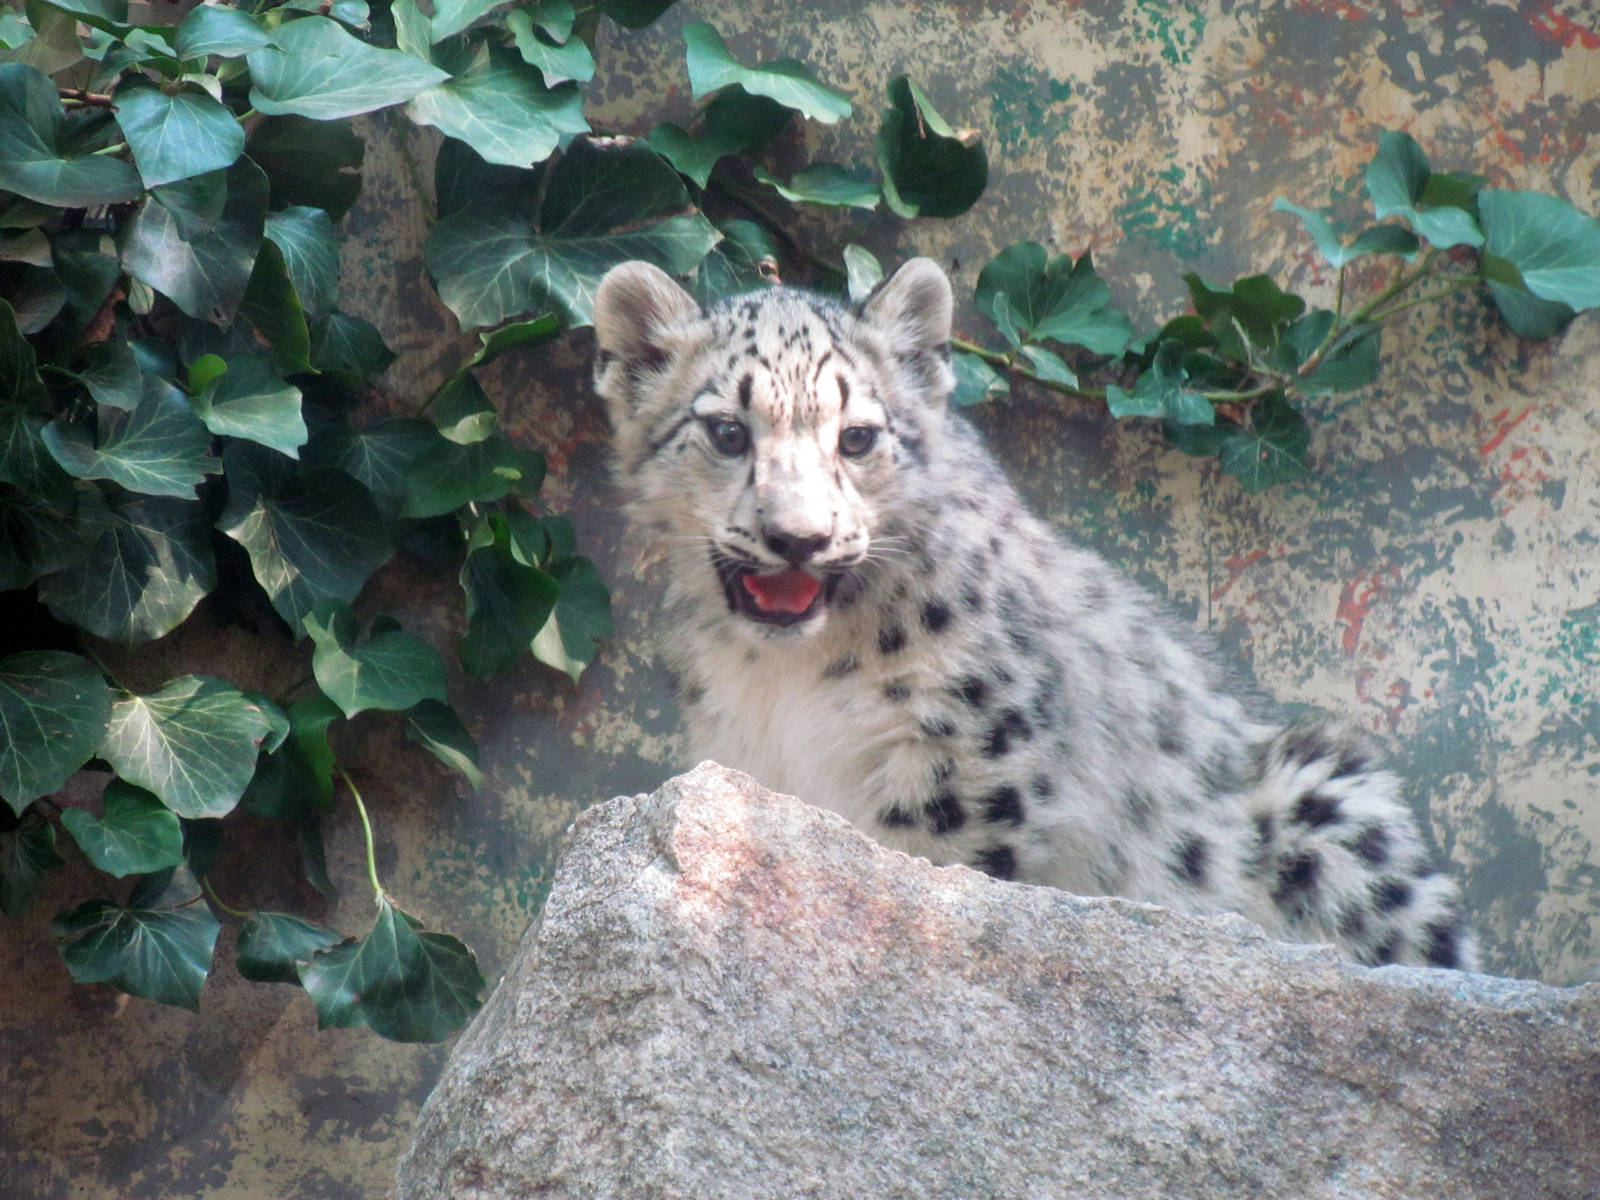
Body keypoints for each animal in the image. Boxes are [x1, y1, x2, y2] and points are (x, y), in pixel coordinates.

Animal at [591, 255, 1476, 971]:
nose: (798, 538)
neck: (783, 679)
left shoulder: (968, 756)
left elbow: (926, 878)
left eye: (858, 437)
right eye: (727, 431)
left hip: (1330, 807)